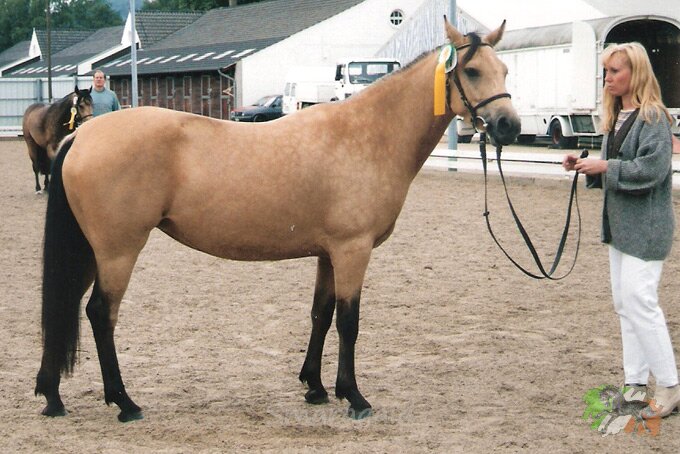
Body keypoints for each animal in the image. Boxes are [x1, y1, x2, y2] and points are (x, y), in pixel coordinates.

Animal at [35, 18, 520, 422]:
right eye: (473, 72)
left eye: (505, 71)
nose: (509, 127)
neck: (367, 134)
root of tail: (82, 135)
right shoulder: (353, 250)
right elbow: (349, 321)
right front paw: (354, 397)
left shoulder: (329, 254)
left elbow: (321, 314)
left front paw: (316, 388)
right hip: (118, 251)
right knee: (100, 314)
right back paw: (125, 402)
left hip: (91, 251)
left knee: (68, 307)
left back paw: (53, 397)